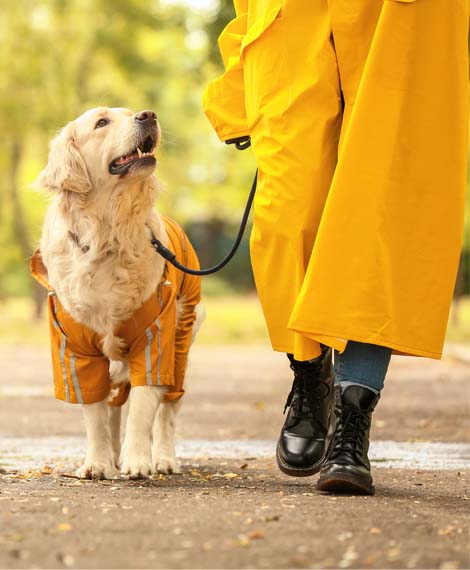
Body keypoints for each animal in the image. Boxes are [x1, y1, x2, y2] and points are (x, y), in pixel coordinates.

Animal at [33, 105, 202, 474]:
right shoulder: (76, 348)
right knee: (112, 405)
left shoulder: (155, 337)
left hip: (182, 340)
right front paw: (98, 462)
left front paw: (138, 461)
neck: (107, 235)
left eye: (130, 112)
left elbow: (142, 408)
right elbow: (95, 415)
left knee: (167, 410)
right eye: (101, 122)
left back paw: (163, 458)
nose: (148, 115)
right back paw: (111, 455)